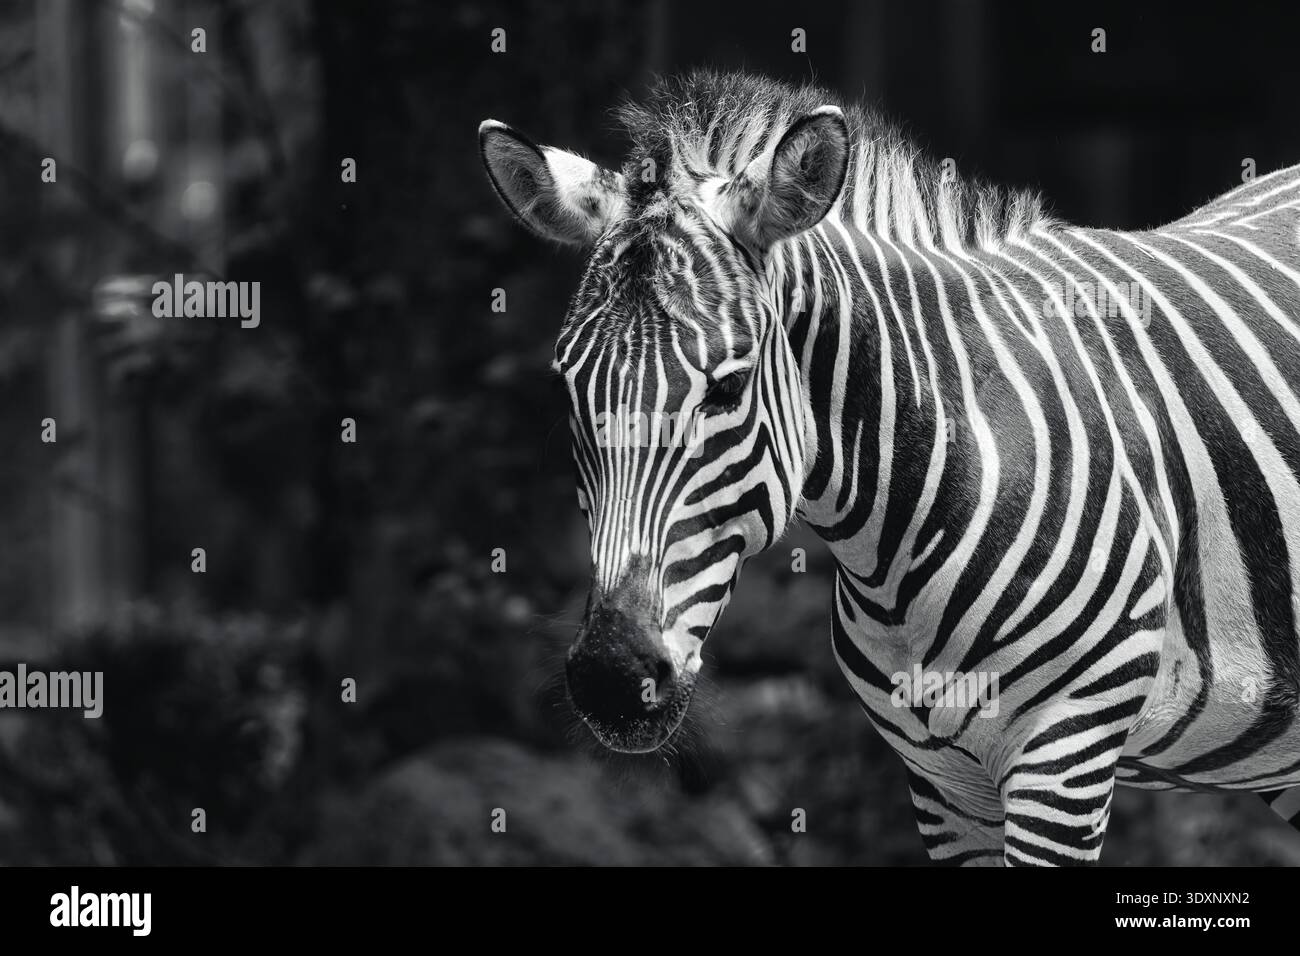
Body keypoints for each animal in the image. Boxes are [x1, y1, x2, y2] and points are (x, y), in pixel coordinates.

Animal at [478, 71, 1300, 865]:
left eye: (728, 388)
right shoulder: (943, 787)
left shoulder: (1066, 754)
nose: (613, 681)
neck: (899, 546)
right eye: (567, 389)